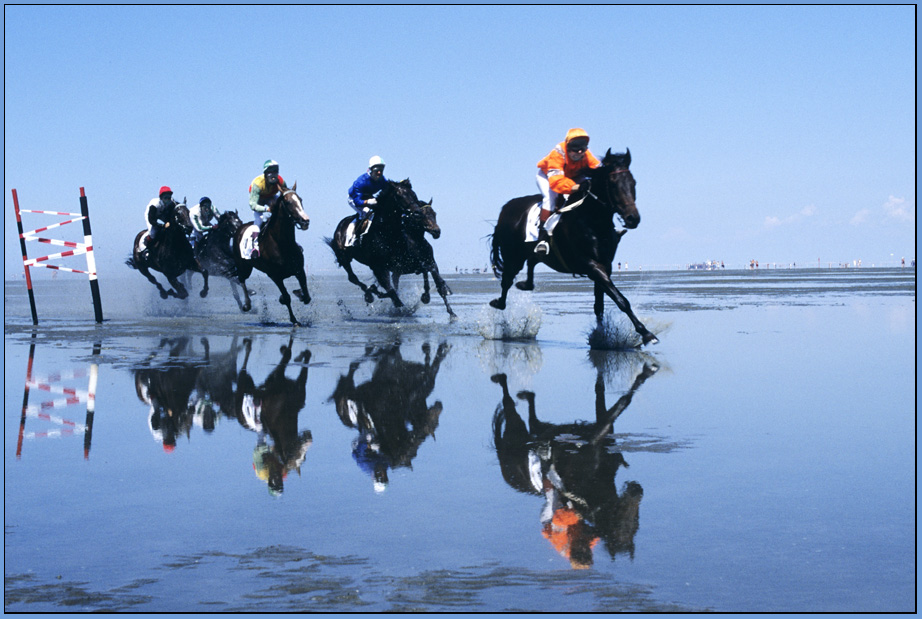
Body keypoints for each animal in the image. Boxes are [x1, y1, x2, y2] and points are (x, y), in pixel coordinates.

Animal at [232, 184, 310, 326]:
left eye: (300, 200)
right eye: (288, 202)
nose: (305, 221)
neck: (283, 244)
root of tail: (240, 228)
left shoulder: (299, 270)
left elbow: (306, 296)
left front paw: (299, 294)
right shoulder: (275, 276)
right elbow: (286, 297)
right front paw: (294, 319)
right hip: (244, 266)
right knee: (241, 279)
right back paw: (247, 305)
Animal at [326, 177, 454, 318]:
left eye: (414, 195)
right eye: (399, 196)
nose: (436, 231)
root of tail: (340, 226)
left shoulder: (417, 262)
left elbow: (432, 272)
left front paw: (447, 300)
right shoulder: (388, 266)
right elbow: (393, 290)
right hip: (344, 258)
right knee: (353, 277)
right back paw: (371, 294)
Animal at [488, 148, 656, 346]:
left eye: (633, 182)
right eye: (613, 184)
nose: (632, 218)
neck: (593, 220)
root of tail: (505, 209)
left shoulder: (605, 265)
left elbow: (599, 305)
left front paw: (600, 335)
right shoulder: (591, 265)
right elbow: (621, 300)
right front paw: (646, 333)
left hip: (529, 254)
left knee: (531, 262)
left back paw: (525, 284)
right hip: (513, 255)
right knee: (507, 281)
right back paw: (499, 303)